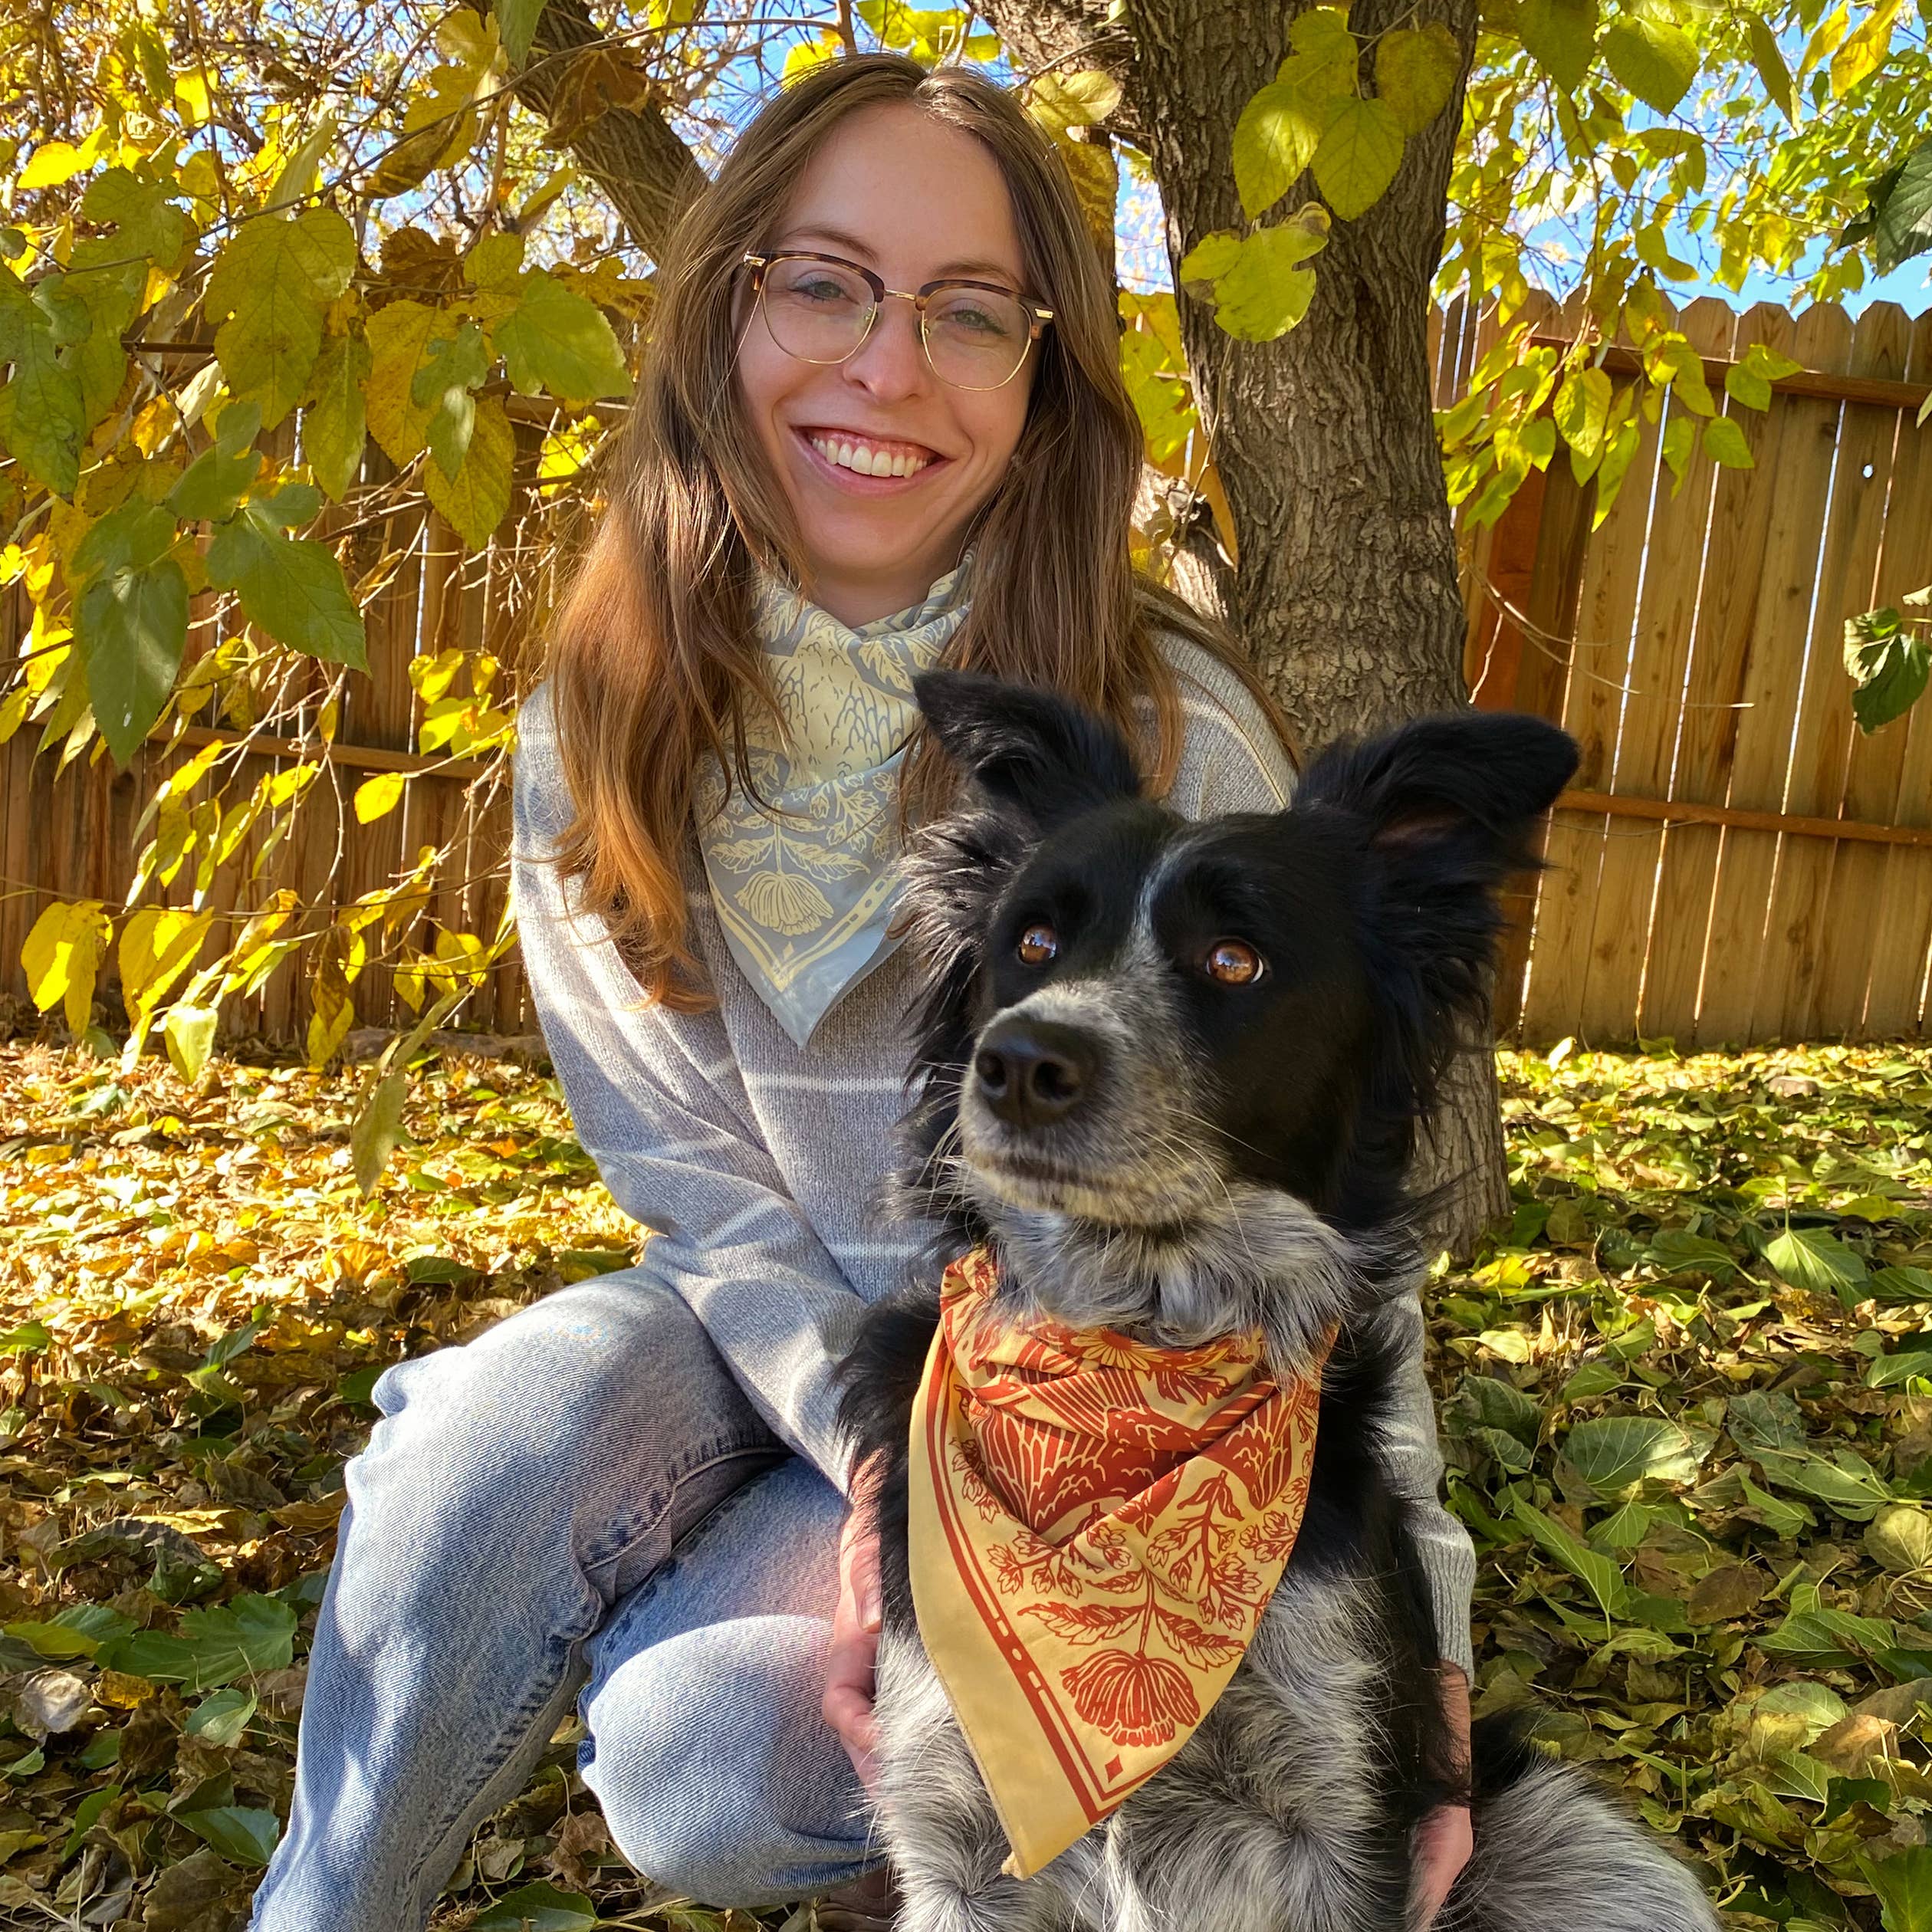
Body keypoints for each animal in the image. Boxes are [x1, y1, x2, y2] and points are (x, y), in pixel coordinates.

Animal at [834, 676, 1723, 1932]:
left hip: (1587, 1855)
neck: (1133, 1360)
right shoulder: (954, 1838)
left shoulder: (1341, 1832)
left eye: (1234, 960)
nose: (1017, 1064)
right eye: (1034, 943)